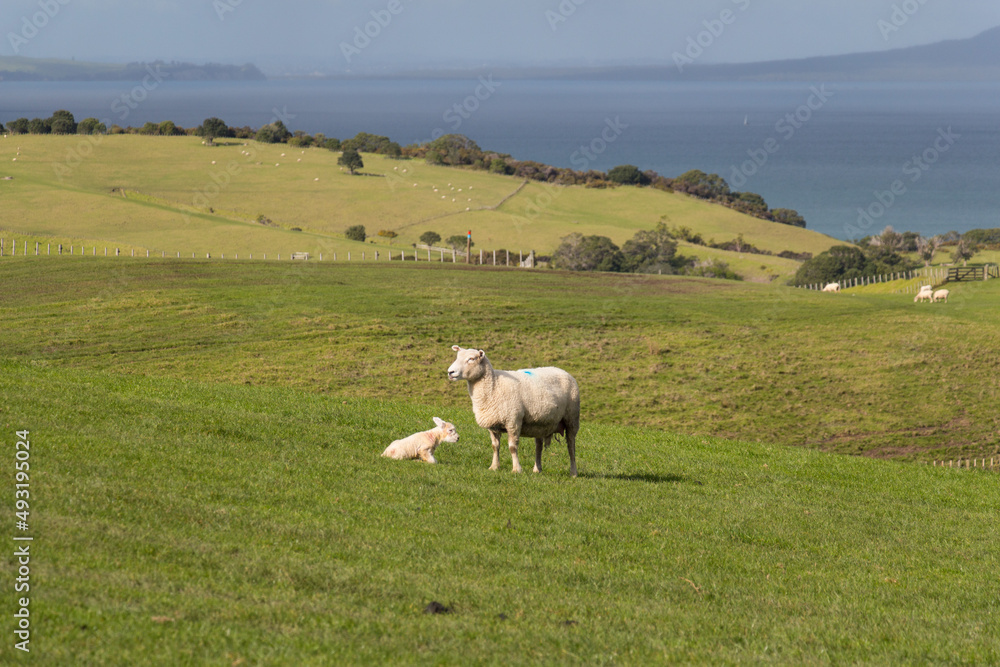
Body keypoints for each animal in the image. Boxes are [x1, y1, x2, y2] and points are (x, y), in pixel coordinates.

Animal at [447, 345, 580, 476]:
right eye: (457, 357)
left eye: (471, 359)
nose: (450, 372)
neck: (494, 385)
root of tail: (562, 371)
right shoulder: (492, 424)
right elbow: (495, 446)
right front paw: (494, 467)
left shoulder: (513, 421)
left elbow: (512, 447)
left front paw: (516, 469)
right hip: (540, 422)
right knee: (539, 446)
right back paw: (537, 469)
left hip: (572, 418)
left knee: (571, 445)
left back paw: (573, 472)